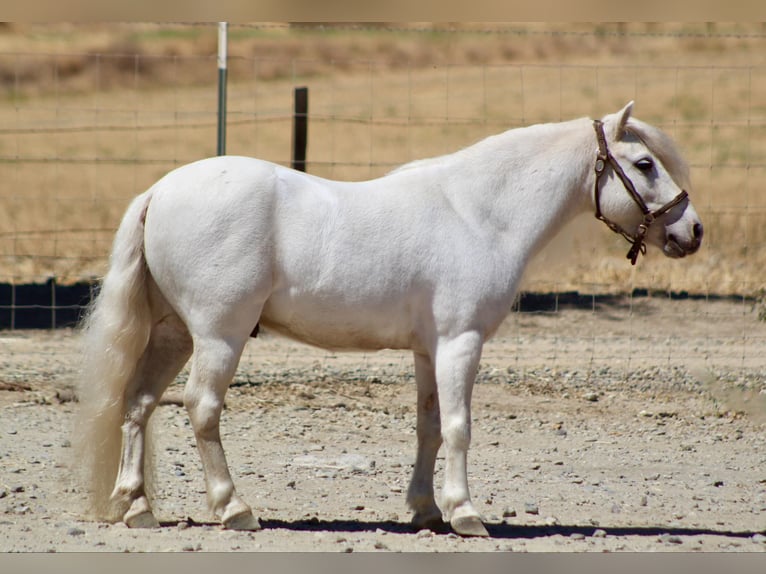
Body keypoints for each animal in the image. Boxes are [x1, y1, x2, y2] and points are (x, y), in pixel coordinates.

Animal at [75, 103, 704, 540]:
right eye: (644, 164)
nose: (692, 230)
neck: (477, 213)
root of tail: (161, 189)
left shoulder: (429, 349)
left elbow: (429, 426)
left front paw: (426, 511)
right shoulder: (460, 342)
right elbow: (459, 427)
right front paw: (466, 513)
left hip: (173, 333)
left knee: (138, 403)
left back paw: (136, 506)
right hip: (218, 336)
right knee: (202, 409)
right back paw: (235, 508)